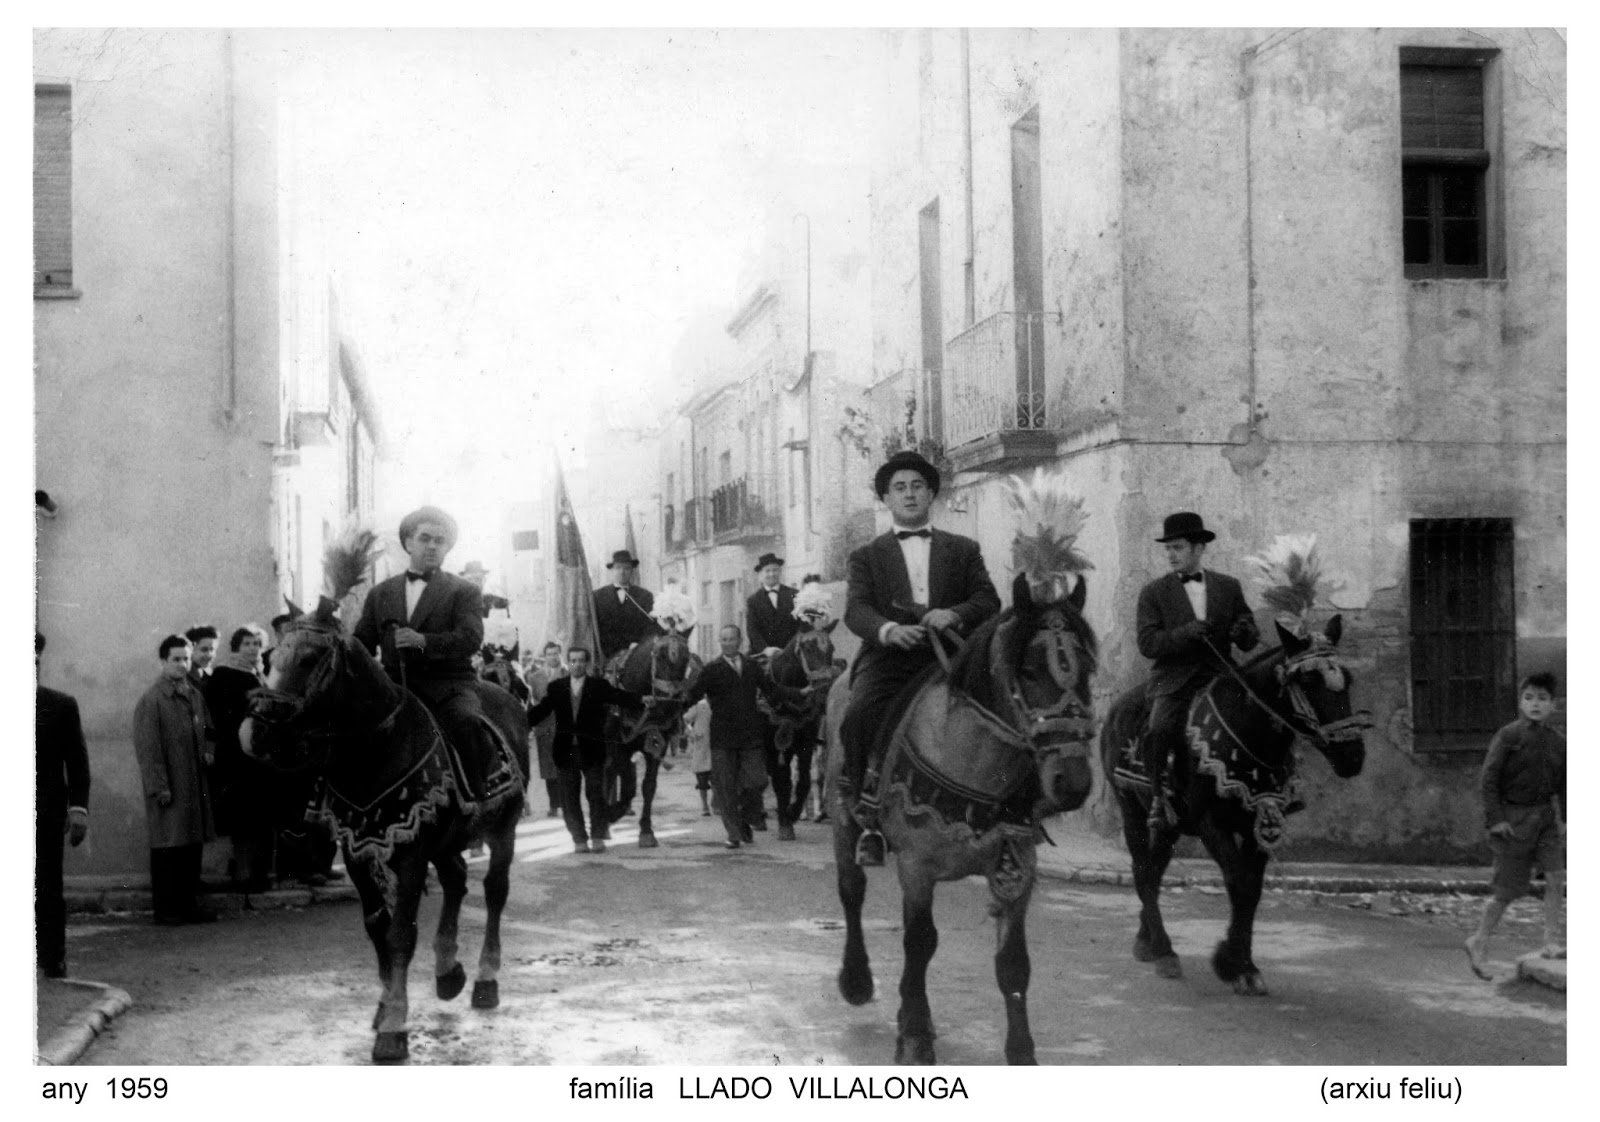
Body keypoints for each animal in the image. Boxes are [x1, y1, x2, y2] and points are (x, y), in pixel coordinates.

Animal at [236, 605, 528, 1056]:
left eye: (308, 659)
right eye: (268, 660)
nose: (254, 733)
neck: (375, 750)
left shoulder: (410, 854)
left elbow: (400, 934)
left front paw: (393, 1025)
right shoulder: (358, 851)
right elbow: (377, 927)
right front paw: (385, 1004)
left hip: (503, 828)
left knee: (495, 891)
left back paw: (485, 979)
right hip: (445, 841)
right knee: (456, 882)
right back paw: (447, 971)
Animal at [601, 627, 700, 845]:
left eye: (686, 658)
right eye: (661, 656)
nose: (670, 705)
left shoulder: (656, 745)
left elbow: (648, 786)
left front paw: (646, 830)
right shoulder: (619, 745)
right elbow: (626, 782)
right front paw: (612, 812)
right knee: (610, 771)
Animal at [761, 621, 851, 832]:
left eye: (831, 648)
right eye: (808, 648)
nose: (825, 685)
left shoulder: (806, 743)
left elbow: (804, 780)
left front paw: (792, 813)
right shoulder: (772, 746)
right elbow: (782, 781)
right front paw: (786, 820)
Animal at [825, 573, 1100, 1062]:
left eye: (1085, 670)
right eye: (1029, 671)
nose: (1073, 782)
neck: (972, 757)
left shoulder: (1017, 866)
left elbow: (1013, 964)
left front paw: (1021, 1051)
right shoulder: (916, 866)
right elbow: (919, 942)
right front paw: (914, 1036)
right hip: (843, 818)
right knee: (852, 892)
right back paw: (856, 980)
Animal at [1100, 617, 1376, 992]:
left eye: (1346, 678)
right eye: (1308, 680)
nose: (1352, 756)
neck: (1247, 734)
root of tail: (1115, 710)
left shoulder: (1261, 822)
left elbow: (1252, 889)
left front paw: (1244, 965)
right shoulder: (1210, 823)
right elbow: (1239, 882)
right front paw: (1230, 962)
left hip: (1169, 824)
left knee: (1154, 870)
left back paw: (1148, 940)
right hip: (1131, 808)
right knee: (1142, 869)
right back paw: (1164, 949)